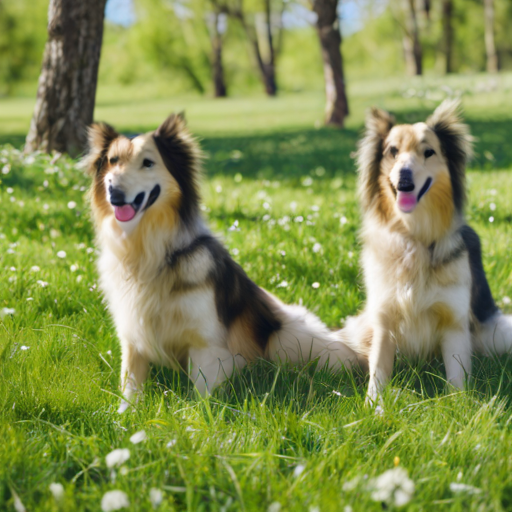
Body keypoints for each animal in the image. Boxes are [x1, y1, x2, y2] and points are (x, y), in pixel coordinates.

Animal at [83, 113, 356, 412]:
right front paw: (126, 414)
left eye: (148, 162)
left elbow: (201, 393)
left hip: (289, 337)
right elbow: (130, 382)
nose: (114, 191)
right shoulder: (132, 332)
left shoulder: (206, 343)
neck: (149, 251)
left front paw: (195, 416)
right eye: (113, 161)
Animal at [340, 101, 512, 404]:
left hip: (497, 332)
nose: (404, 180)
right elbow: (378, 370)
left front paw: (457, 407)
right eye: (392, 151)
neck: (415, 237)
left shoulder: (454, 321)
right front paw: (374, 408)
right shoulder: (383, 320)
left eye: (428, 152)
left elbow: (457, 376)